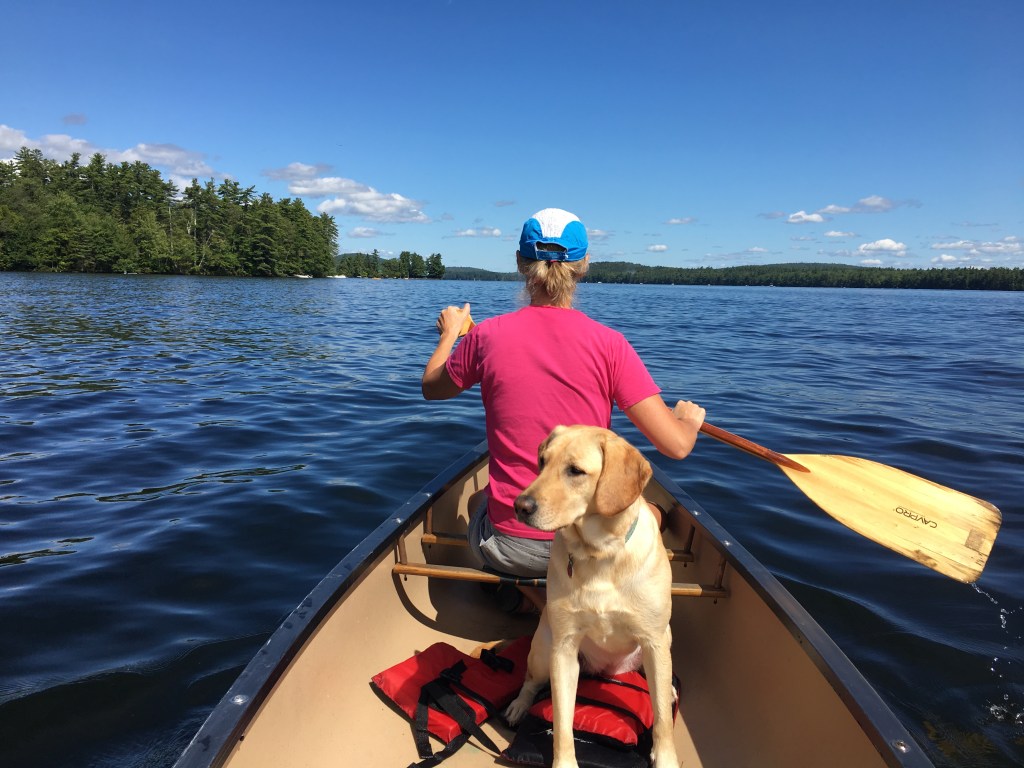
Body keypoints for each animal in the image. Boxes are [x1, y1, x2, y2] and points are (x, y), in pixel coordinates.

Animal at [504, 425, 678, 768]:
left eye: (575, 471)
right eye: (542, 462)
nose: (520, 506)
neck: (600, 554)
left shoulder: (653, 642)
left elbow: (664, 718)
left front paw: (665, 759)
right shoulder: (563, 650)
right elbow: (562, 722)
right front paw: (564, 762)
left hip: (664, 640)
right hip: (544, 649)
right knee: (530, 681)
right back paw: (519, 705)